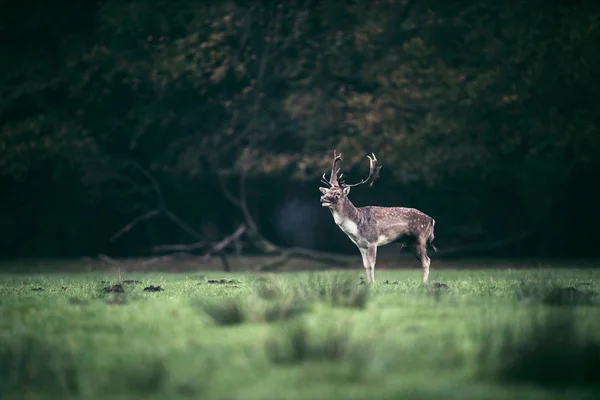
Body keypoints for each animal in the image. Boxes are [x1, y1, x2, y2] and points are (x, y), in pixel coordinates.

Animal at [318, 150, 436, 284]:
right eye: (327, 192)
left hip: (420, 238)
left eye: (337, 194)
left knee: (427, 261)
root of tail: (431, 220)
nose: (323, 198)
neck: (357, 225)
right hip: (411, 243)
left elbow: (372, 264)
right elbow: (365, 266)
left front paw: (373, 283)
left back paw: (424, 283)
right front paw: (369, 283)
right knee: (425, 260)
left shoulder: (372, 241)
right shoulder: (361, 245)